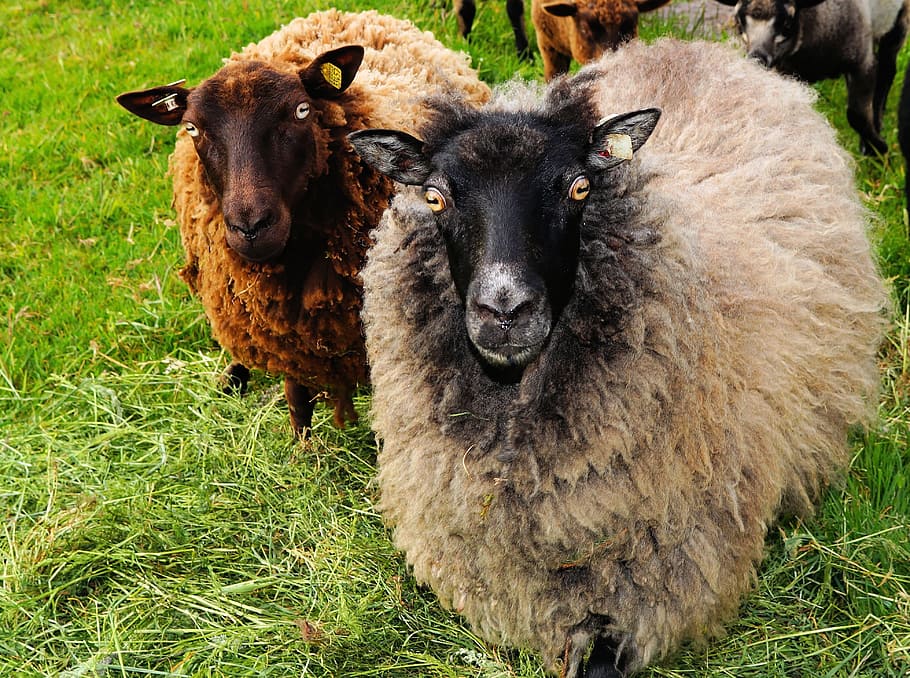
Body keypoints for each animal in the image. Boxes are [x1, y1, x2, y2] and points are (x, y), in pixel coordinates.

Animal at [116, 9, 489, 435]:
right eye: (192, 128)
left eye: (301, 111)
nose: (251, 226)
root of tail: (347, 13)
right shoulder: (281, 333)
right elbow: (296, 396)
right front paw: (302, 444)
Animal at [714, 0, 910, 155]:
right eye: (739, 22)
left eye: (787, 23)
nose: (757, 58)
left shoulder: (861, 61)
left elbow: (856, 115)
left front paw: (877, 148)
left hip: (899, 19)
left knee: (887, 69)